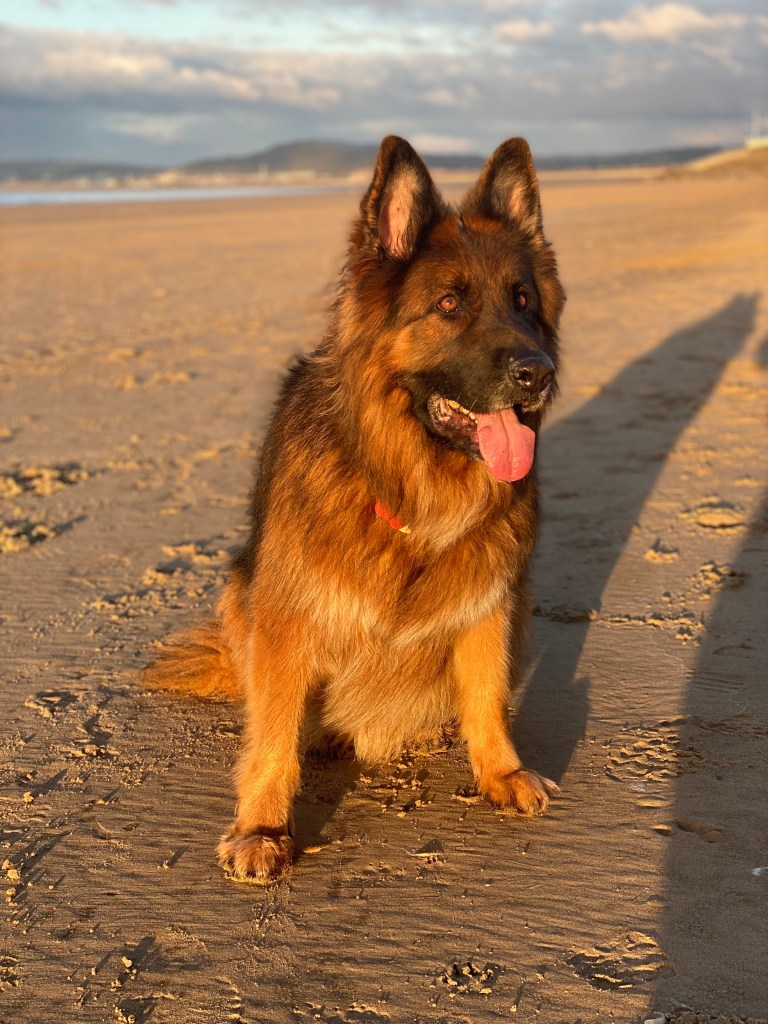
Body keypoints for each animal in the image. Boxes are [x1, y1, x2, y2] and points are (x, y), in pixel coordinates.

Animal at [143, 135, 566, 883]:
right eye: (449, 303)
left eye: (523, 300)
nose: (536, 372)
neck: (408, 486)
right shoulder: (288, 616)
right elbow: (273, 734)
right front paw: (261, 827)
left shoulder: (493, 595)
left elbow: (487, 692)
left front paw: (501, 771)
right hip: (239, 588)